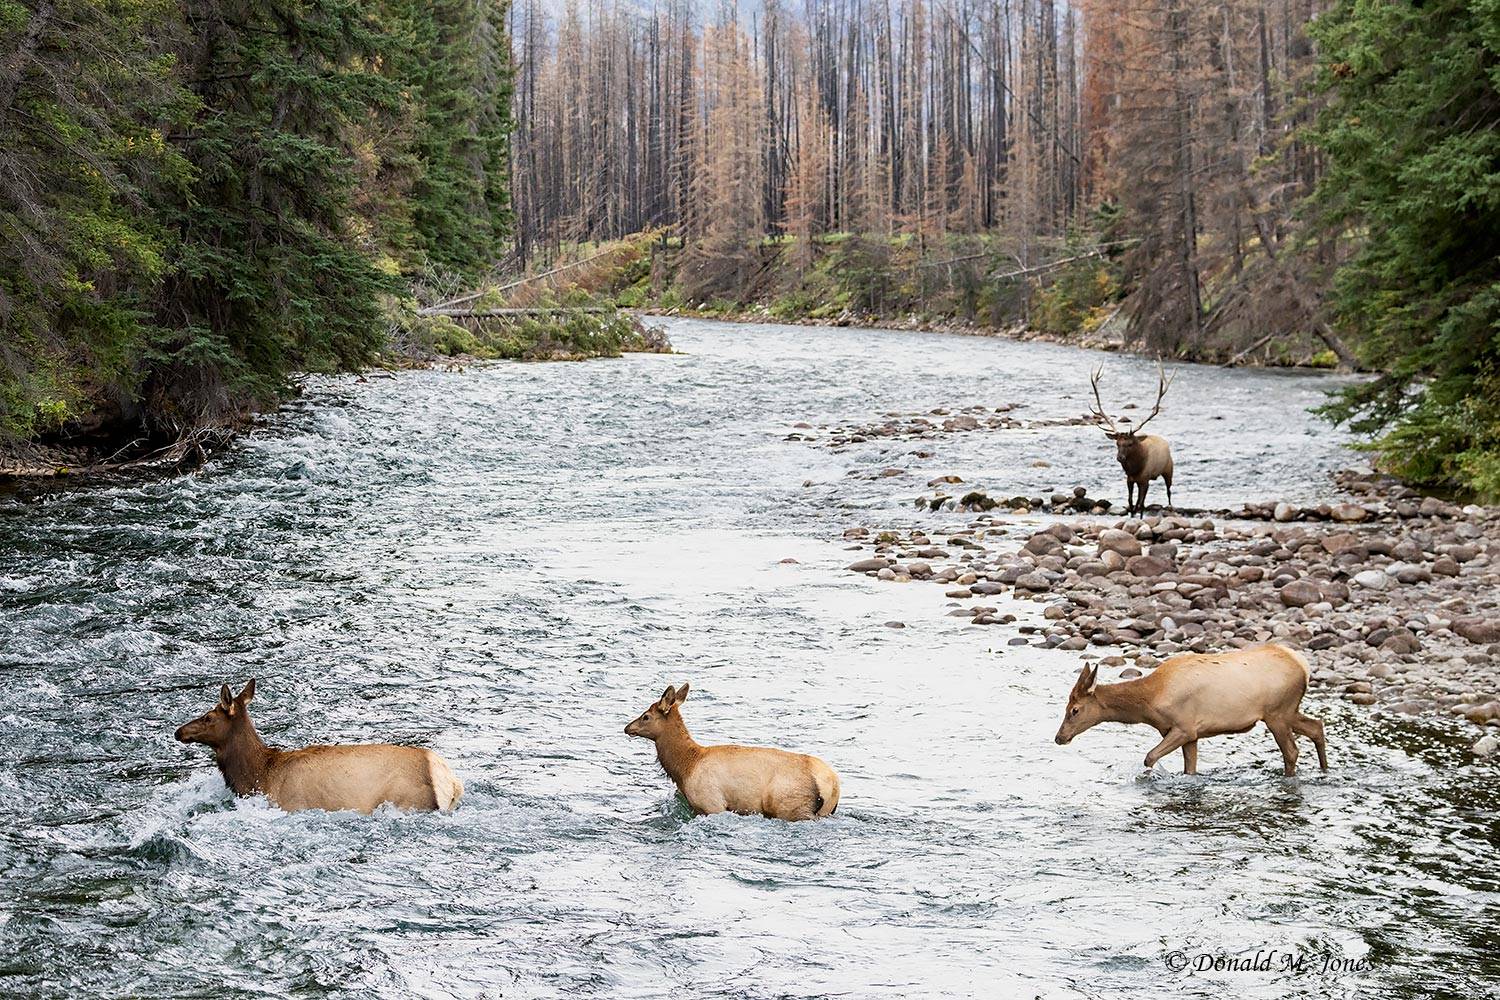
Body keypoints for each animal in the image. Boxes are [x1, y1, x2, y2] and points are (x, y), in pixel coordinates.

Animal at [624, 683, 840, 821]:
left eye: (646, 716)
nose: (627, 728)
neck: (686, 767)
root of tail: (832, 785)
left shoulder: (712, 803)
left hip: (791, 805)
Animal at [1053, 644, 1329, 776]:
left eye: (1074, 710)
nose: (1059, 737)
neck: (1150, 703)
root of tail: (1303, 666)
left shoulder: (1183, 727)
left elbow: (1149, 757)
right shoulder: (1192, 734)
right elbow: (1190, 768)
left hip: (1277, 712)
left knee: (1291, 751)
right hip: (1287, 711)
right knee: (1316, 726)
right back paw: (1325, 770)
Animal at [1089, 363, 1175, 516]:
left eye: (1130, 443)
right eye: (1117, 443)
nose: (1120, 457)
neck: (1135, 468)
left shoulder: (1144, 479)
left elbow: (1140, 504)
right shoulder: (1130, 480)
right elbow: (1130, 502)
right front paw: (1132, 515)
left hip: (1169, 469)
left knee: (1168, 491)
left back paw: (1170, 506)